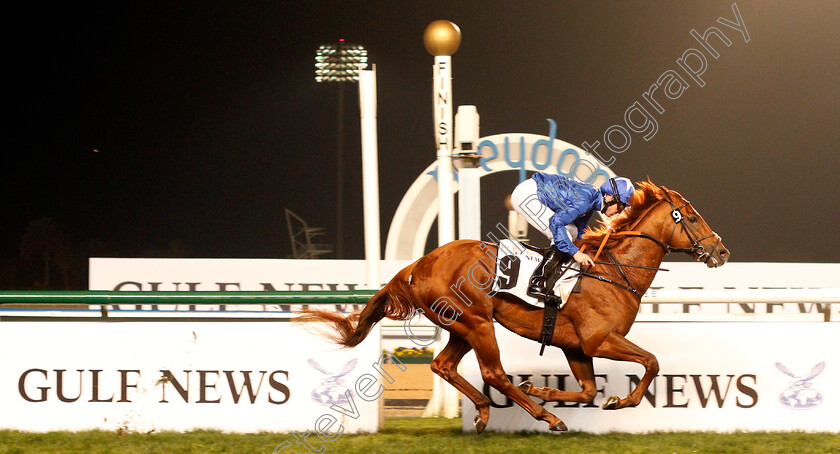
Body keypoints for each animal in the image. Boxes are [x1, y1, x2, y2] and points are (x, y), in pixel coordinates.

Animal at [296, 179, 728, 430]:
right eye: (692, 217)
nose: (721, 251)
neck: (613, 271)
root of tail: (419, 266)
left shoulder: (575, 345)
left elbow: (588, 390)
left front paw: (545, 389)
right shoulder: (598, 339)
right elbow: (651, 362)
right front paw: (621, 401)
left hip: (462, 327)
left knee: (444, 366)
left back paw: (488, 411)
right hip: (477, 323)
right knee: (494, 373)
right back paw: (544, 416)